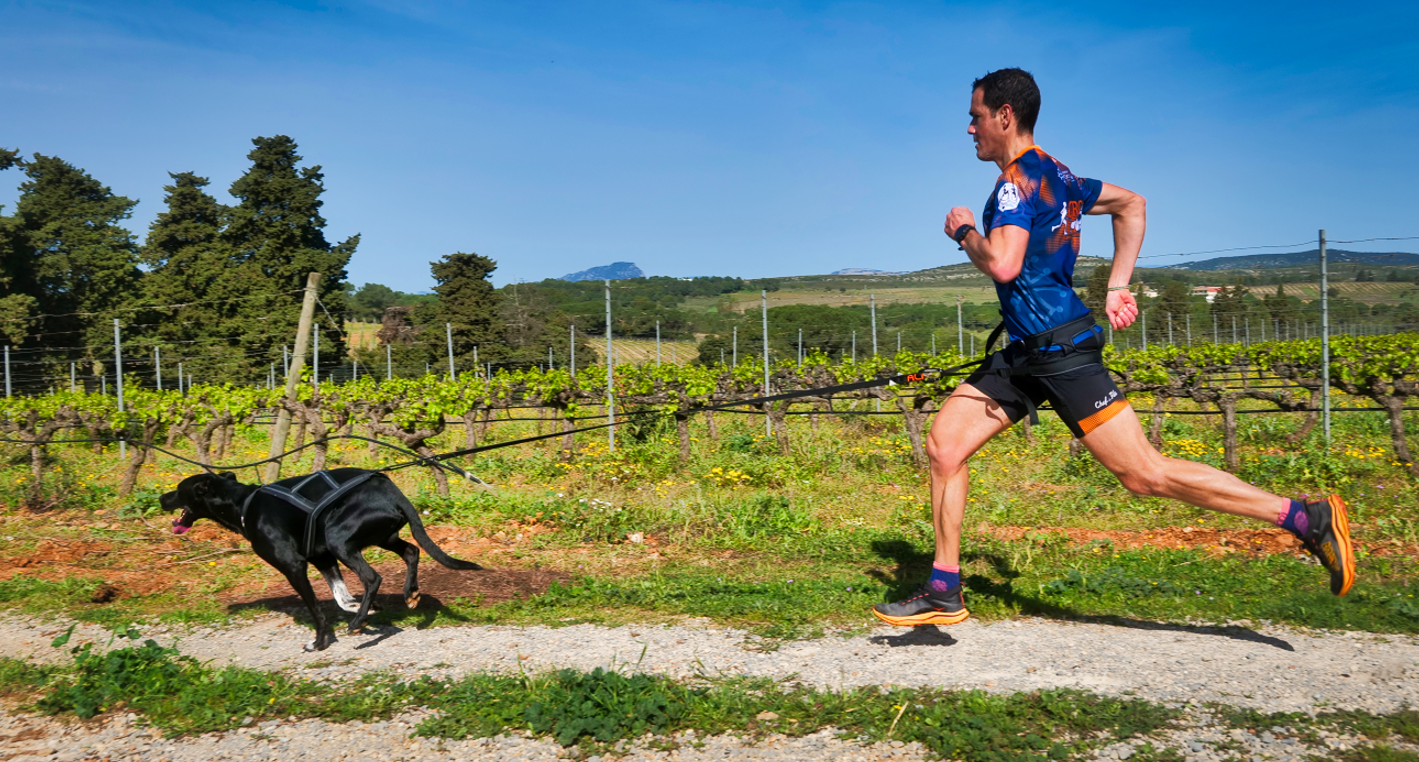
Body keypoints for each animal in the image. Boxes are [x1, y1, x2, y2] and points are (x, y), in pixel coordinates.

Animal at [161, 465, 482, 649]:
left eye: (178, 490)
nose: (161, 499)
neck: (244, 504)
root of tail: (391, 490)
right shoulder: (323, 559)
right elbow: (341, 597)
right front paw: (365, 609)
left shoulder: (294, 566)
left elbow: (316, 609)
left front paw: (320, 642)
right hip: (380, 537)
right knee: (412, 551)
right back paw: (409, 593)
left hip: (340, 539)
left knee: (373, 577)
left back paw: (357, 624)